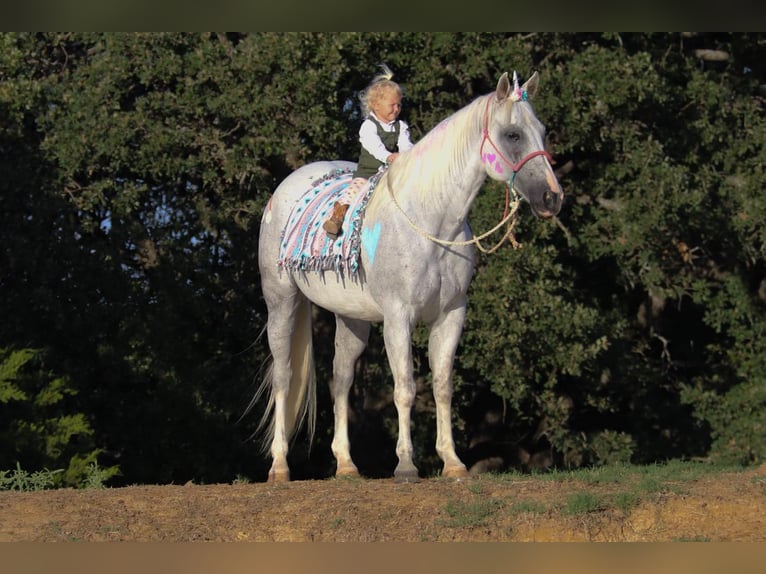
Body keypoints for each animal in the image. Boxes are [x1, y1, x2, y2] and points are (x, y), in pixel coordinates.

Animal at [258, 72, 564, 486]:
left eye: (542, 131)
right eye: (513, 135)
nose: (552, 198)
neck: (431, 221)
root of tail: (285, 188)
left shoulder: (451, 315)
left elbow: (442, 386)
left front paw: (452, 461)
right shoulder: (398, 317)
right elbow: (404, 388)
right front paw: (405, 465)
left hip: (351, 318)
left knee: (341, 379)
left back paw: (347, 465)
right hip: (281, 303)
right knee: (284, 377)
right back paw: (279, 466)